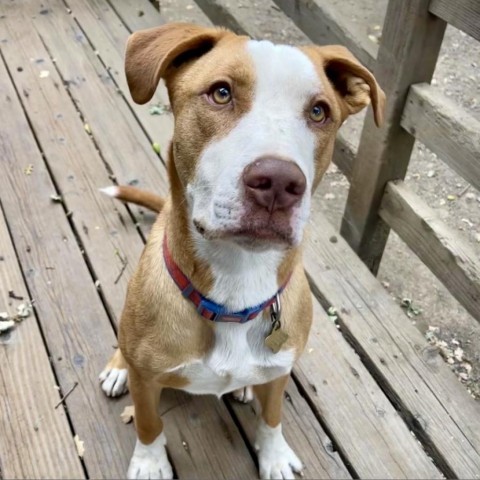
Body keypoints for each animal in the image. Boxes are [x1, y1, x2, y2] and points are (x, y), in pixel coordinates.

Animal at [97, 23, 382, 480]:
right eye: (221, 93)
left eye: (319, 112)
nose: (280, 182)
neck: (237, 282)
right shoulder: (147, 383)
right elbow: (148, 421)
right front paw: (149, 461)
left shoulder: (280, 373)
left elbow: (272, 417)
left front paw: (275, 456)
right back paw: (116, 369)